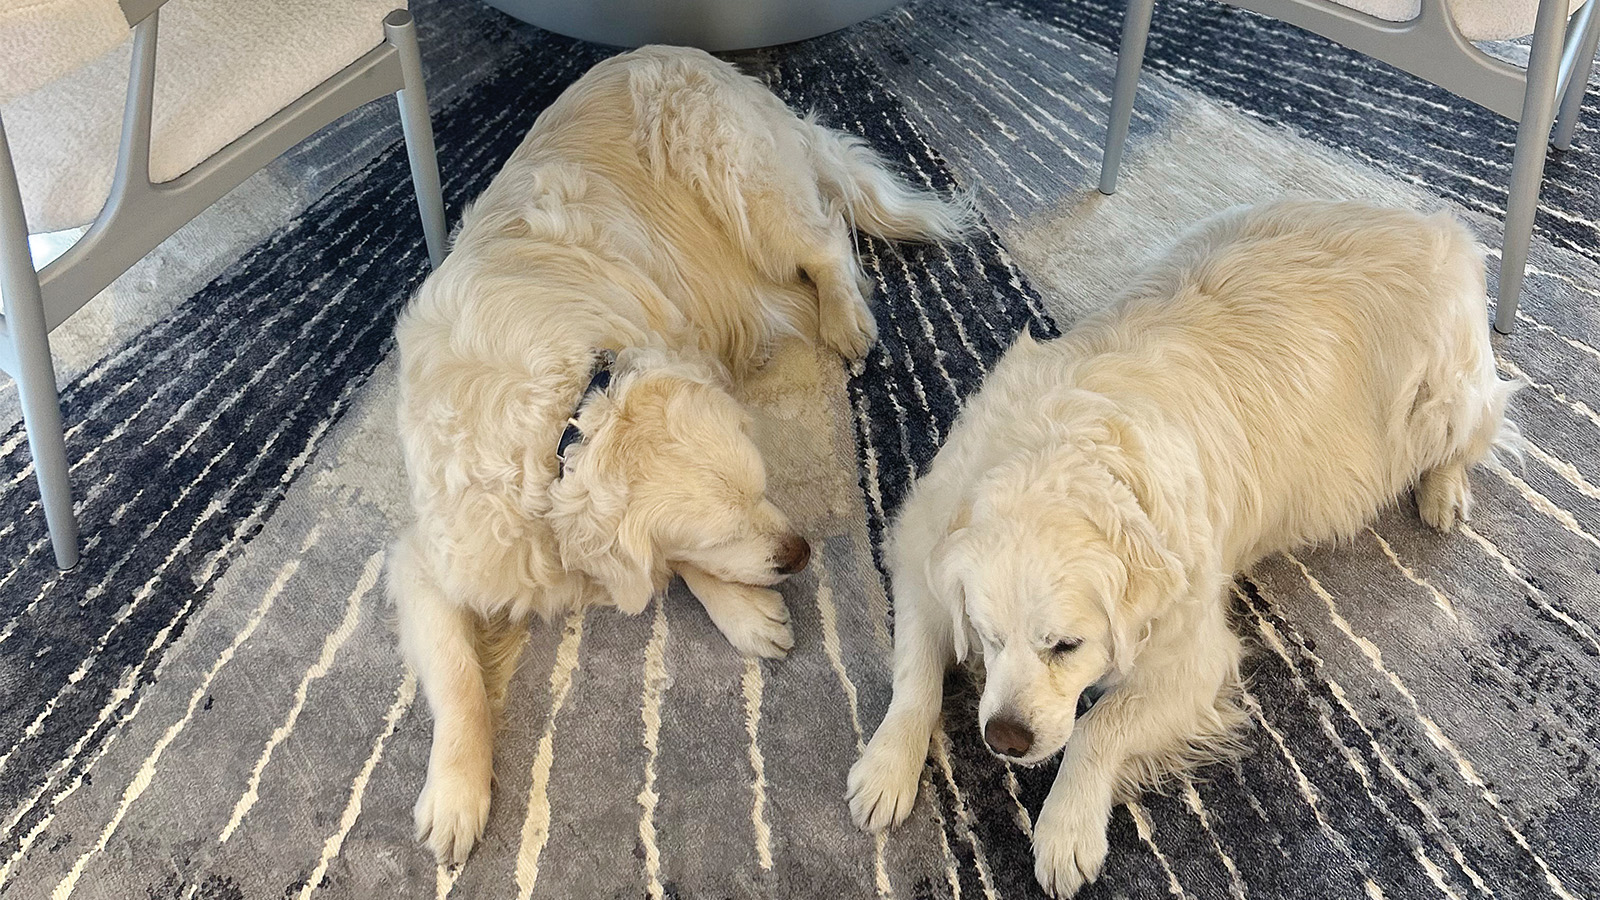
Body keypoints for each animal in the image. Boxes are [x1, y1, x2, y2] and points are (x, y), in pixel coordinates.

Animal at [387, 45, 966, 858]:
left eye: (765, 485)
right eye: (726, 523)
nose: (801, 555)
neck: (562, 420)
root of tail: (691, 55)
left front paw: (743, 611)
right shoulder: (428, 554)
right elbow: (456, 672)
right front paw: (455, 793)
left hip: (740, 179)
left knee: (826, 243)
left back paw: (848, 320)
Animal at [851, 199, 1510, 890]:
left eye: (1066, 646)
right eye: (987, 635)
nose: (1005, 739)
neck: (1059, 445)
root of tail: (1437, 223)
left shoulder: (1192, 656)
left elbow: (1099, 725)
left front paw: (1066, 827)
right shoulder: (923, 545)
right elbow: (915, 675)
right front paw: (886, 766)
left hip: (1441, 404)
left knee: (1471, 435)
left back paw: (1443, 495)